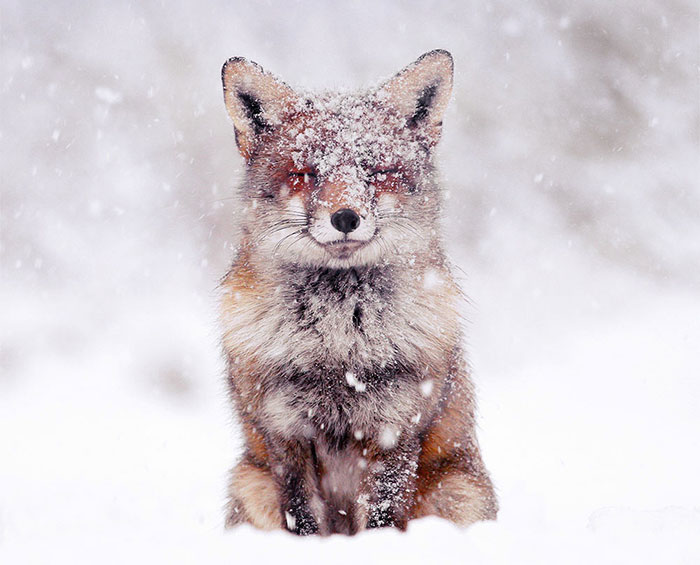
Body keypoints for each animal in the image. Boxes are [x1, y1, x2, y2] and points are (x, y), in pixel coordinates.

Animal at [219, 49, 497, 535]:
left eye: (377, 172)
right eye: (306, 174)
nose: (345, 217)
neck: (339, 344)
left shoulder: (397, 425)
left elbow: (383, 516)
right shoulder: (284, 432)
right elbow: (302, 517)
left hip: (458, 493)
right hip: (250, 481)